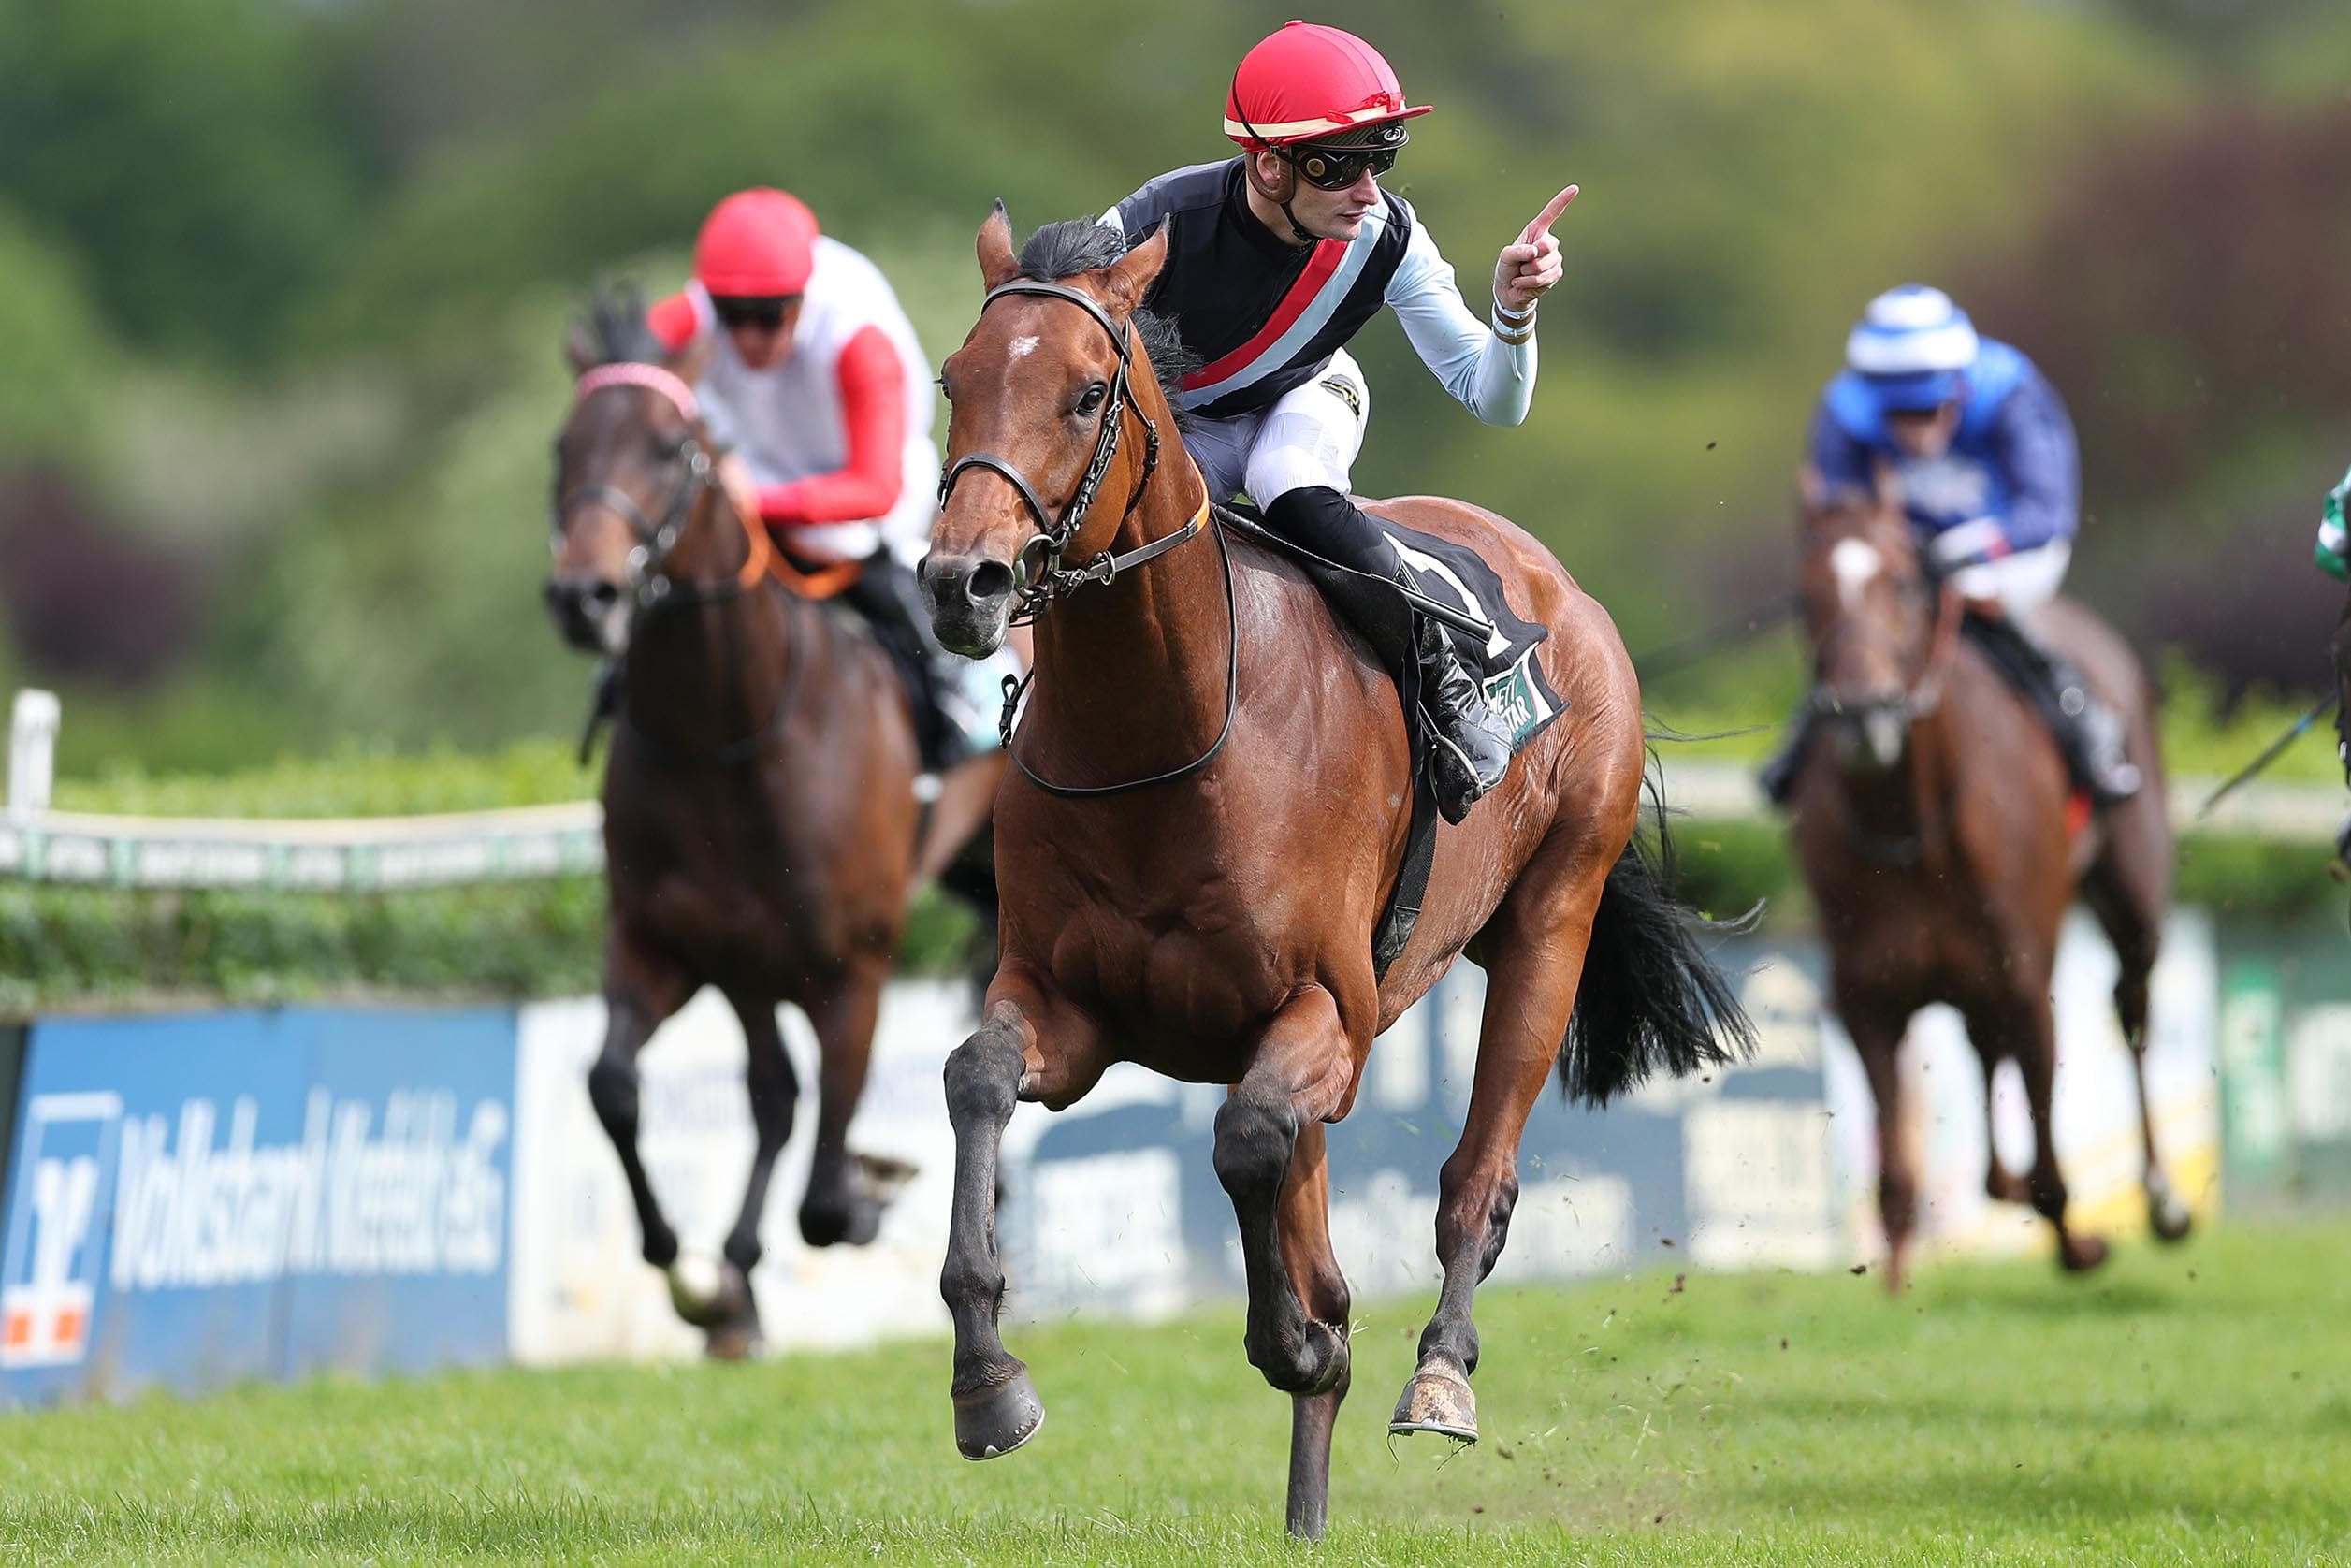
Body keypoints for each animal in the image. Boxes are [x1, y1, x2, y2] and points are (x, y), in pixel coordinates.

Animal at [543, 287, 1005, 1356]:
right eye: (562, 448)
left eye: (672, 446)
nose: (584, 594)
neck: (730, 730)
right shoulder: (675, 943)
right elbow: (616, 1087)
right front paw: (700, 1280)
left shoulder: (852, 969)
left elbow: (826, 1195)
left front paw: (866, 1192)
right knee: (770, 1098)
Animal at [915, 209, 1753, 1539]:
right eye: (957, 379)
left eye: (1088, 391)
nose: (964, 581)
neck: (1166, 730)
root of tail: (1554, 581)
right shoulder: (1068, 1001)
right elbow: (978, 1079)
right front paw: (988, 1381)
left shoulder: (1328, 1013)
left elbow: (1250, 1143)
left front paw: (1297, 1340)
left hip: (1550, 916)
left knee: (1475, 1178)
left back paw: (1438, 1374)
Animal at [1784, 478, 2191, 1292]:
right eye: (1804, 598)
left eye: (1903, 584)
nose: (1863, 711)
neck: (1912, 824)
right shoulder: (1866, 998)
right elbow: (1897, 1178)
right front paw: (1893, 1286)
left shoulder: (2028, 981)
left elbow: (2050, 1167)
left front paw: (2079, 1247)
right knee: (1981, 1047)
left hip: (2131, 901)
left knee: (2129, 1008)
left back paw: (2161, 1198)